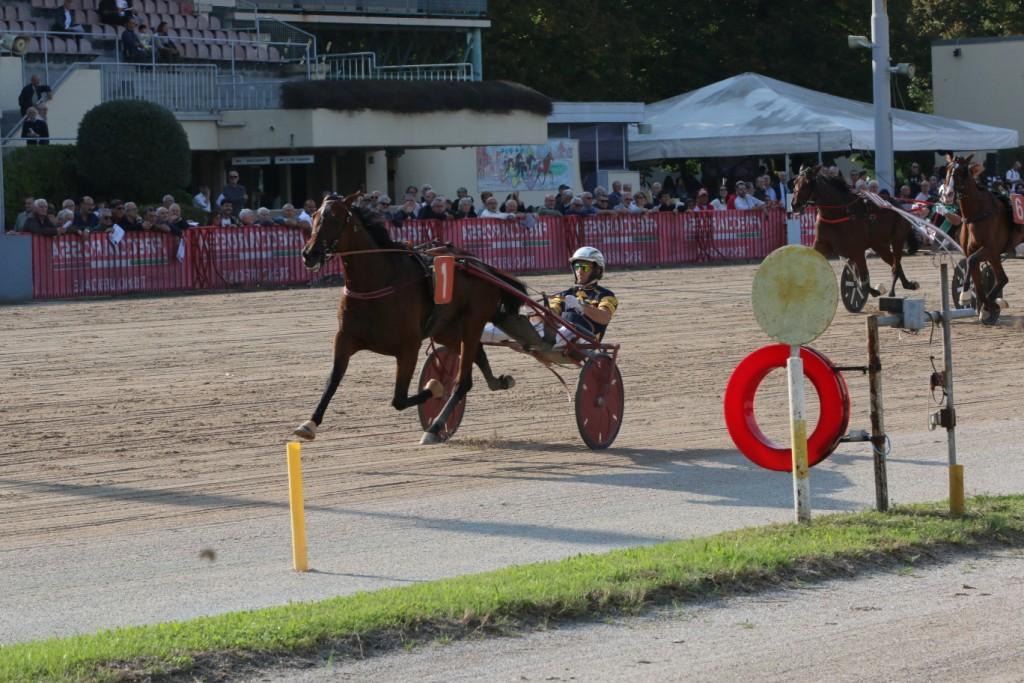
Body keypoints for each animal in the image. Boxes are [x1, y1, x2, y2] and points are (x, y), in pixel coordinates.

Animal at [294, 194, 544, 446]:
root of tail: (481, 265)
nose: (309, 253)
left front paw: (436, 387)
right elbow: (332, 381)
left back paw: (435, 427)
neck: (378, 281)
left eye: (335, 218)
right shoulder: (344, 338)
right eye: (314, 216)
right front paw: (309, 423)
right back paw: (498, 381)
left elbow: (399, 399)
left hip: (473, 321)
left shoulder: (408, 347)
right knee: (477, 355)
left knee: (463, 380)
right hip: (445, 329)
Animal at [790, 163, 921, 303]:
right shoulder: (821, 244)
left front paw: (872, 291)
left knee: (896, 264)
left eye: (807, 183)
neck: (838, 213)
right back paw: (908, 284)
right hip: (879, 245)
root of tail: (900, 206)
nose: (794, 205)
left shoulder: (857, 251)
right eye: (795, 183)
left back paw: (893, 290)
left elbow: (862, 280)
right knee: (894, 262)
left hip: (897, 239)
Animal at [942, 154, 1024, 325]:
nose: (948, 194)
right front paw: (986, 306)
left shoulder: (990, 250)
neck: (980, 213)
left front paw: (985, 304)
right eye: (947, 169)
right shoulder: (982, 253)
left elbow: (973, 262)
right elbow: (981, 277)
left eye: (962, 171)